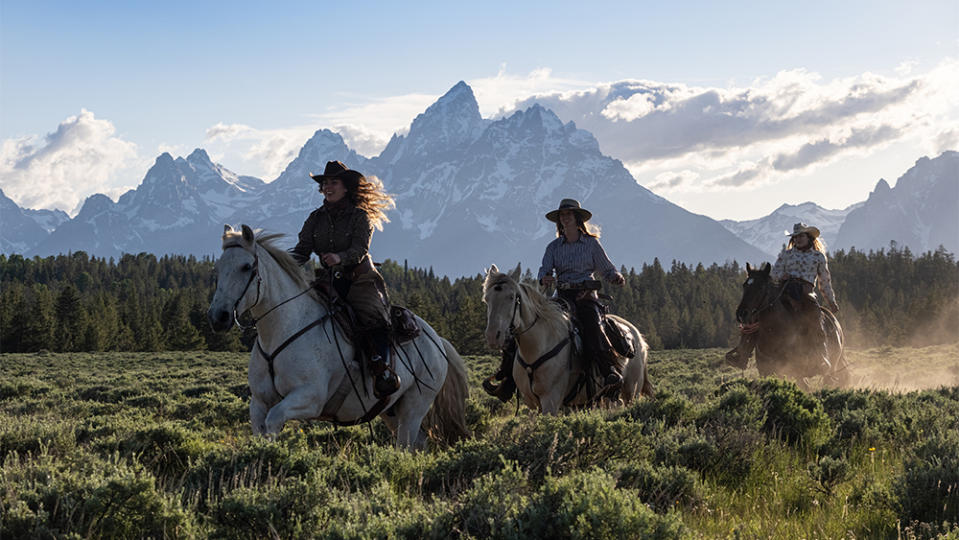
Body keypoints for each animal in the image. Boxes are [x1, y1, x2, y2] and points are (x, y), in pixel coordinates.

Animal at [208, 226, 470, 450]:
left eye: (245, 266)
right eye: (217, 269)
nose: (218, 316)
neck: (283, 329)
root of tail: (438, 341)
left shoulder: (309, 398)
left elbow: (274, 421)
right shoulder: (259, 402)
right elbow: (260, 430)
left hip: (414, 407)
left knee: (406, 445)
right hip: (391, 410)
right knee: (418, 443)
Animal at [484, 264, 656, 414]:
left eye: (512, 297)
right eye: (486, 299)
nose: (492, 336)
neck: (537, 346)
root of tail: (638, 336)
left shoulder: (551, 400)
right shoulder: (532, 404)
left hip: (631, 391)